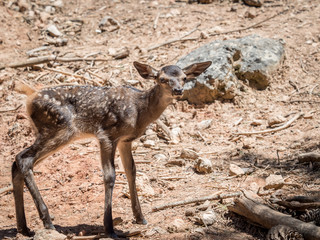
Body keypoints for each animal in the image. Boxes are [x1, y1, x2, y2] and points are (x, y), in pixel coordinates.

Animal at [12, 60, 211, 238]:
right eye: (162, 79)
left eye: (184, 77)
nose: (178, 90)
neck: (140, 112)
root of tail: (30, 96)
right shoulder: (106, 135)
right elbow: (110, 176)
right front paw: (109, 227)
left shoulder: (125, 140)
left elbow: (131, 171)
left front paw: (140, 217)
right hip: (58, 129)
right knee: (23, 159)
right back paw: (47, 220)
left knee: (17, 162)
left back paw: (24, 228)